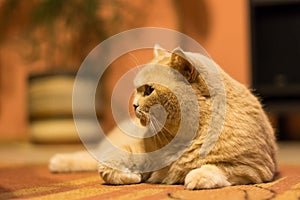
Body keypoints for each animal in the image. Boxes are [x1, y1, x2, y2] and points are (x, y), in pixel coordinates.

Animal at [48, 44, 276, 190]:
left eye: (149, 90)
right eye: (137, 89)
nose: (134, 105)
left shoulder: (253, 168)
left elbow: (213, 169)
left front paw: (196, 177)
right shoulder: (131, 149)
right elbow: (106, 166)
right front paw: (131, 176)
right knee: (90, 156)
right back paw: (57, 162)